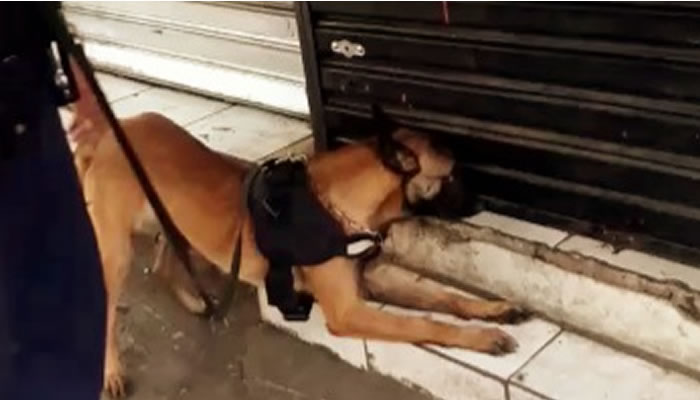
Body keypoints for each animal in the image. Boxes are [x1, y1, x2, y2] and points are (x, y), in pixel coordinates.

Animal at [64, 61, 529, 397]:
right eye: (453, 176)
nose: (483, 204)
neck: (336, 206)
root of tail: (107, 133)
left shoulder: (372, 281)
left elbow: (443, 297)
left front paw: (495, 310)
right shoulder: (348, 311)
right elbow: (425, 324)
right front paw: (484, 338)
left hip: (171, 220)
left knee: (163, 261)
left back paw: (194, 301)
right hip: (115, 252)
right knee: (108, 306)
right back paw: (111, 372)